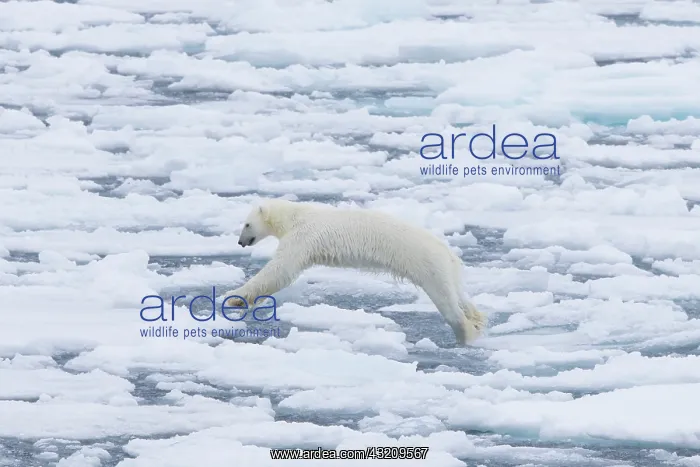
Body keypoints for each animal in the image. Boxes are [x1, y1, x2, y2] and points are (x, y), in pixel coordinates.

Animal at [222, 198, 487, 345]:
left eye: (246, 224)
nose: (240, 242)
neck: (296, 216)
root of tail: (448, 253)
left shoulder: (302, 237)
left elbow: (279, 271)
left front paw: (233, 297)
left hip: (428, 266)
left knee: (446, 301)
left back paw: (465, 333)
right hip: (448, 270)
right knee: (460, 295)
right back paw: (476, 319)